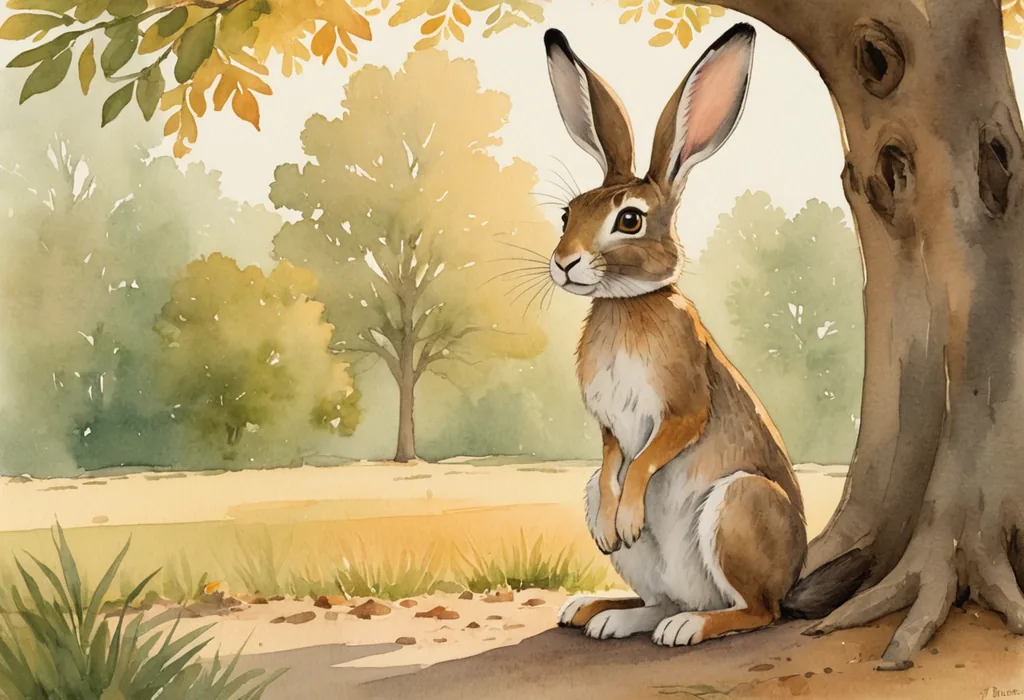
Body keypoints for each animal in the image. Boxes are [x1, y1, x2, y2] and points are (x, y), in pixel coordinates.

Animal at [542, 23, 867, 646]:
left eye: (629, 220)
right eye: (567, 214)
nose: (565, 263)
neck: (629, 306)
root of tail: (791, 581)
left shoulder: (684, 403)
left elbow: (649, 455)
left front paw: (628, 517)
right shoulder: (609, 425)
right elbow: (614, 459)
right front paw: (610, 529)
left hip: (738, 506)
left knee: (757, 611)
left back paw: (688, 627)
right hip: (646, 545)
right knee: (656, 598)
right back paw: (600, 612)